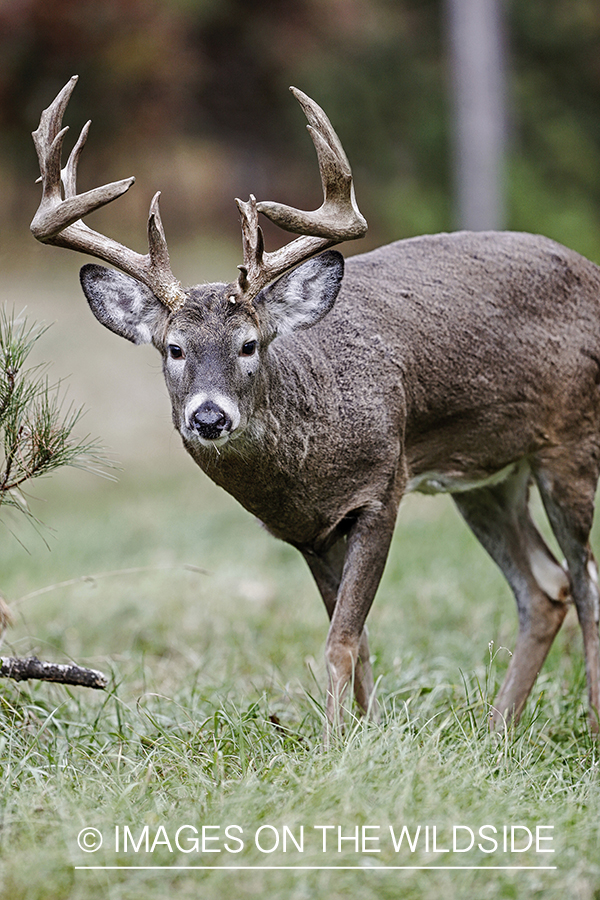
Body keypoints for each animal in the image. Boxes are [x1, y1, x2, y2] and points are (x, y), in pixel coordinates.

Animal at [32, 77, 600, 740]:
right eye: (174, 348)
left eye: (249, 344)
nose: (209, 418)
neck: (306, 468)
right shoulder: (308, 533)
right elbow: (358, 641)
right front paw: (366, 731)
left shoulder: (382, 491)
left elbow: (340, 641)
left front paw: (334, 742)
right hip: (488, 476)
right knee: (545, 587)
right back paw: (497, 728)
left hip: (571, 444)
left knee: (584, 581)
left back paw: (586, 722)